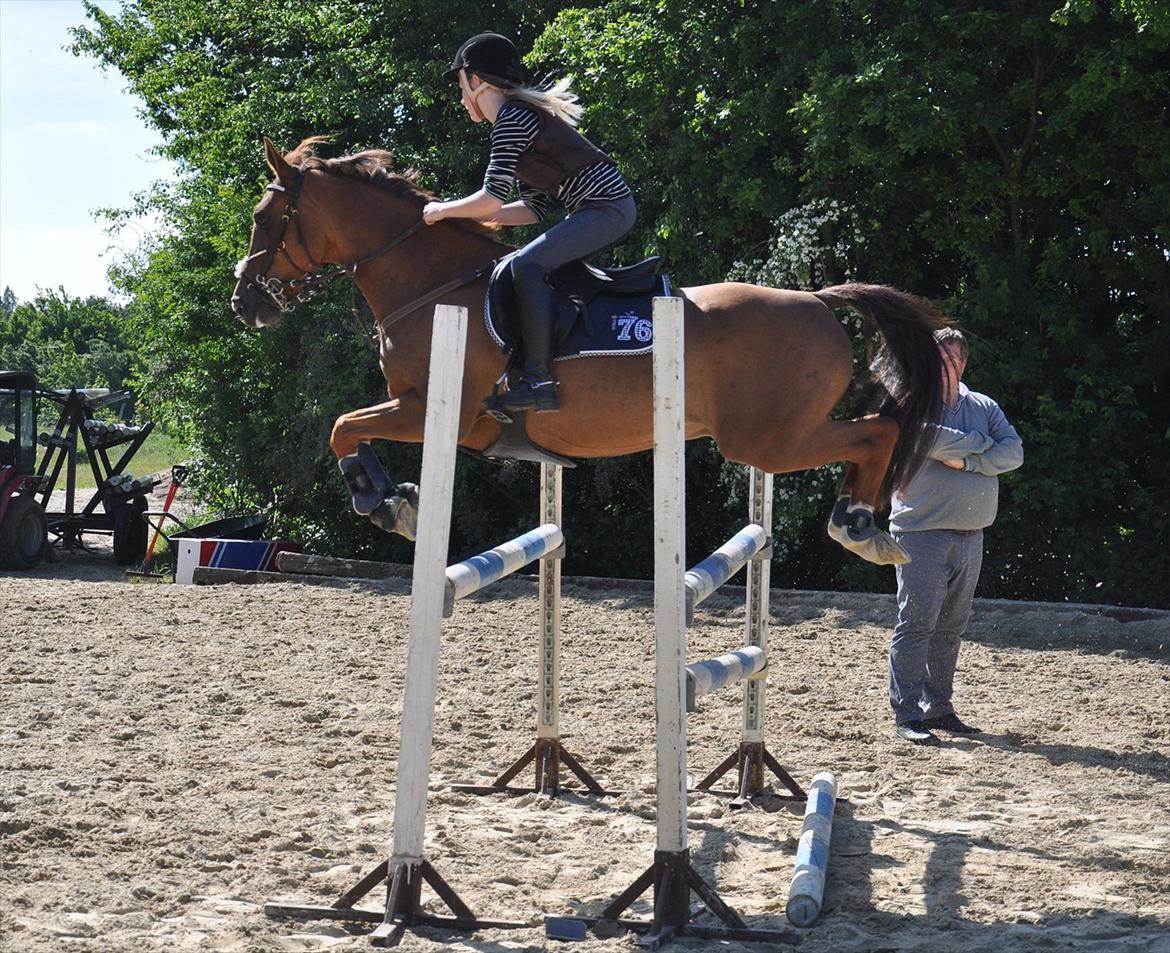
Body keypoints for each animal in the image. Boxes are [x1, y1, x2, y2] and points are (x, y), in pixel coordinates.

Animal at [230, 136, 950, 565]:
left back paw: (858, 524)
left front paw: (382, 502)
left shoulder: (438, 412)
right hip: (773, 435)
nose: (244, 303)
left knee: (878, 431)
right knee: (877, 430)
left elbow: (341, 426)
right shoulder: (431, 414)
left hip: (767, 438)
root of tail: (820, 301)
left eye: (264, 220)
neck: (430, 284)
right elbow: (349, 427)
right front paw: (391, 496)